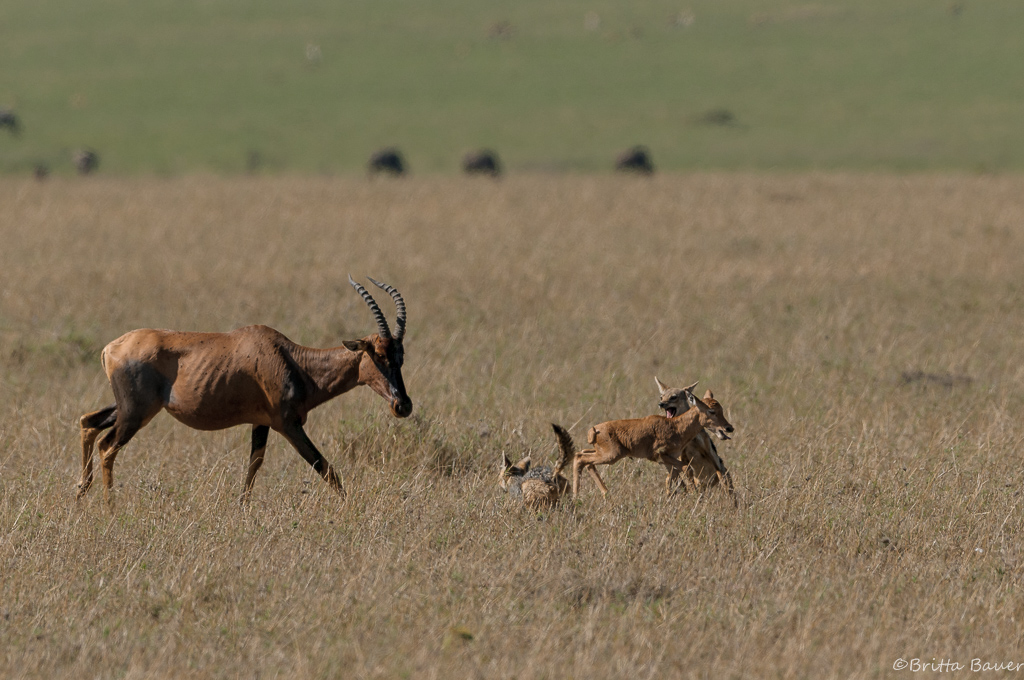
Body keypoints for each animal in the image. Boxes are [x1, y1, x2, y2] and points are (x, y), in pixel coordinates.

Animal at [76, 276, 411, 503]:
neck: (290, 357)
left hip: (128, 407)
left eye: (401, 355)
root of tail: (110, 348)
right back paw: (109, 507)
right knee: (107, 446)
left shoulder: (260, 423)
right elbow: (325, 468)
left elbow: (253, 466)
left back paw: (81, 492)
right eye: (378, 355)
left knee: (88, 422)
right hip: (137, 412)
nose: (403, 405)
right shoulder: (287, 425)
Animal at [573, 383, 733, 499]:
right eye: (711, 411)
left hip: (602, 452)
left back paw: (604, 493)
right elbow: (686, 470)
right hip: (611, 456)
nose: (729, 428)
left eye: (721, 408)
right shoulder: (660, 456)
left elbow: (671, 479)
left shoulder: (669, 459)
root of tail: (594, 430)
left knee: (582, 456)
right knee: (580, 458)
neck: (676, 426)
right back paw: (576, 497)